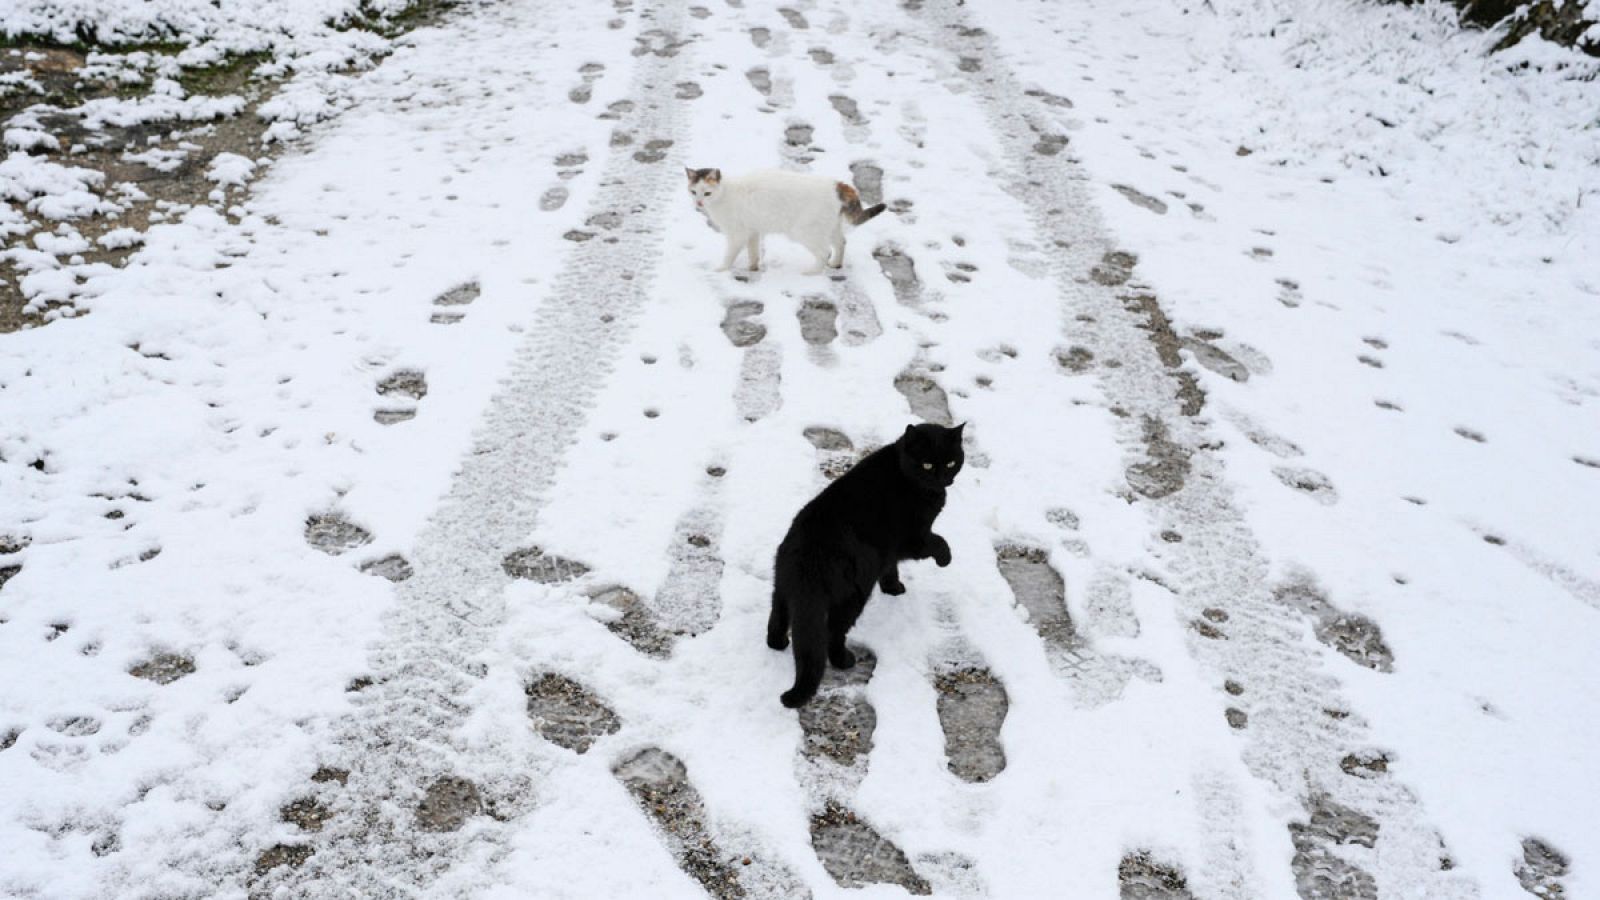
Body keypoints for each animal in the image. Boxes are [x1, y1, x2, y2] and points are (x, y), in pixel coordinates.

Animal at [684, 167, 889, 273]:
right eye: (693, 191)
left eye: (707, 193)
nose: (699, 203)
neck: (725, 194)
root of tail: (838, 185)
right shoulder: (752, 231)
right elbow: (753, 252)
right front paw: (753, 267)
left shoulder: (737, 234)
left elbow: (729, 254)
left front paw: (722, 268)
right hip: (830, 227)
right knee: (841, 243)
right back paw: (836, 264)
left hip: (805, 231)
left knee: (824, 252)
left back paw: (812, 271)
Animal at [764, 422, 960, 707]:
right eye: (926, 465)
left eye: (951, 462)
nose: (942, 478)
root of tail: (809, 557)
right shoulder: (914, 539)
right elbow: (938, 542)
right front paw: (945, 559)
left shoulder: (888, 550)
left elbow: (890, 566)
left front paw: (892, 587)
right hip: (852, 596)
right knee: (832, 632)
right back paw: (844, 660)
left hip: (783, 587)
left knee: (778, 617)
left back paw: (778, 643)